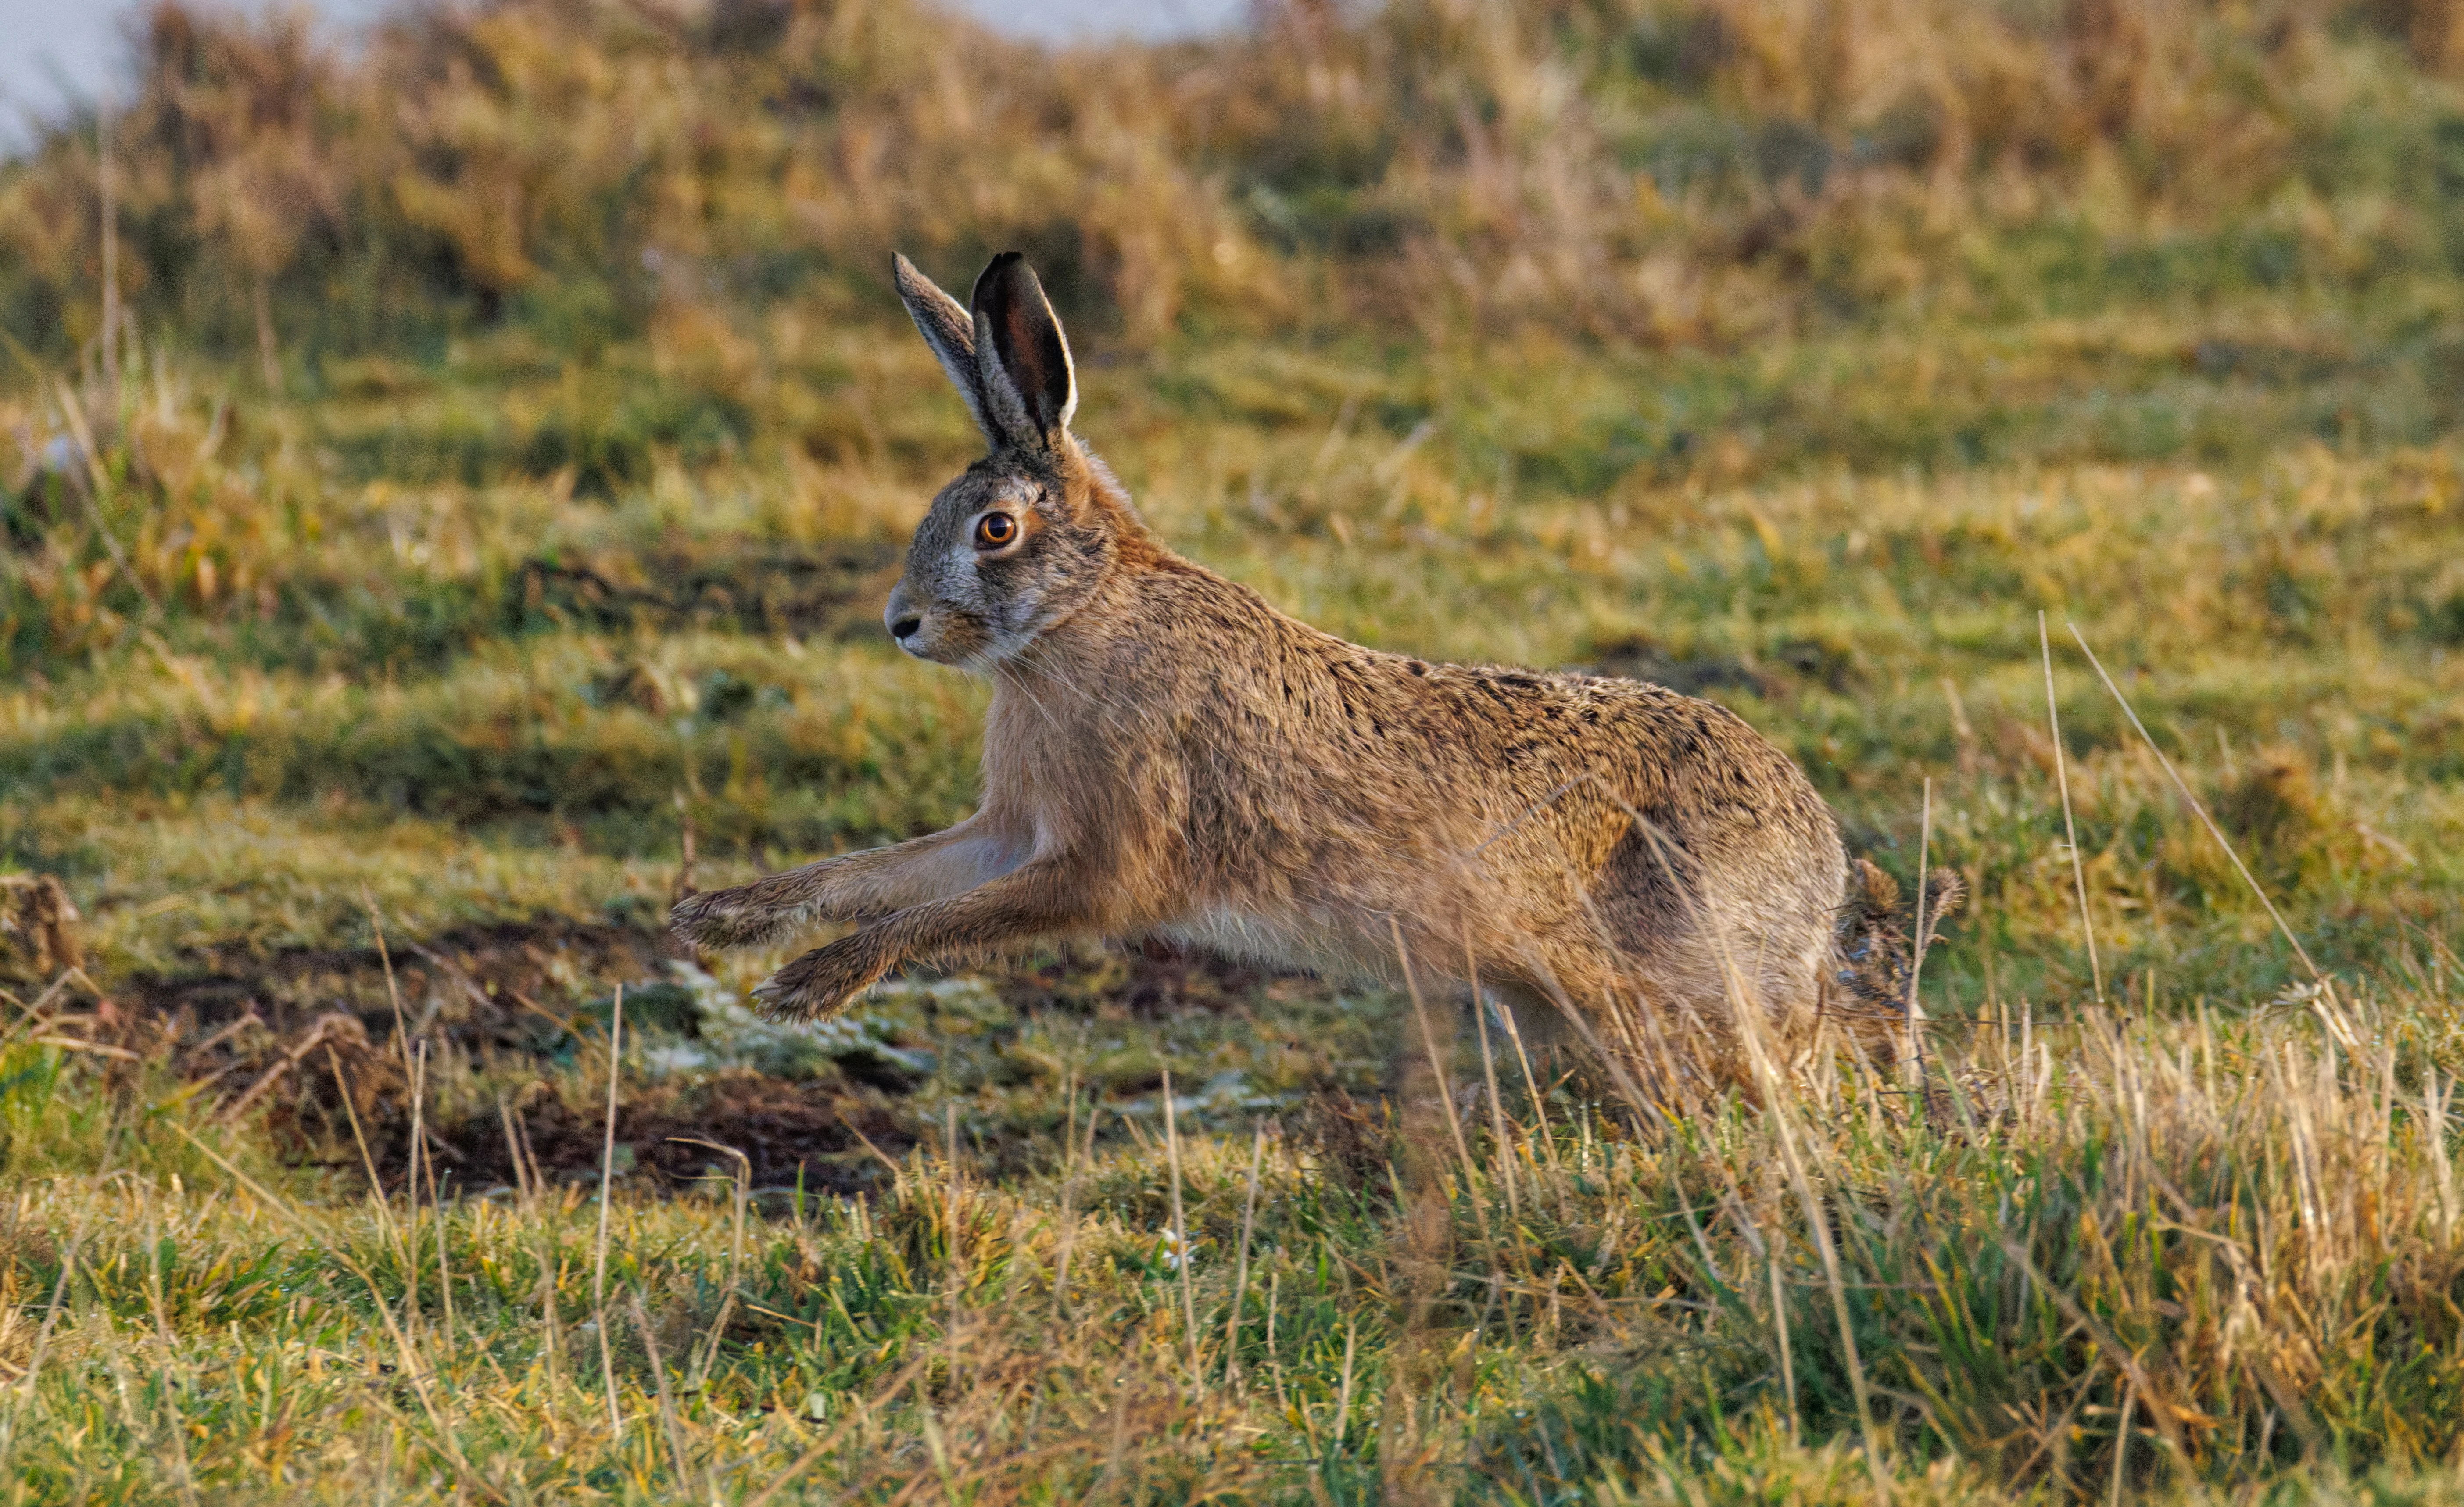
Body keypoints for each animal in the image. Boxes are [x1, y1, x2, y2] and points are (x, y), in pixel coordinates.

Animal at [668, 251, 1857, 1064]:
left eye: (994, 530)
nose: (901, 623)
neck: (1080, 619)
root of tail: (1821, 868)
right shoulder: (1008, 829)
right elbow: (878, 872)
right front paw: (721, 917)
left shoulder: (1104, 861)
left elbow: (934, 917)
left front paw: (804, 987)